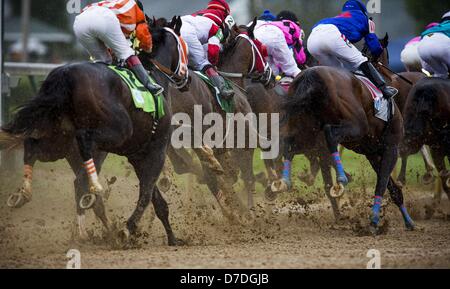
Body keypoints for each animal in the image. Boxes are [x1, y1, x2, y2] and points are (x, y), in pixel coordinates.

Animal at [0, 18, 186, 244]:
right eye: (182, 45)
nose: (185, 76)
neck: (155, 76)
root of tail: (65, 73)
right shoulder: (156, 149)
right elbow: (146, 191)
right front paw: (127, 229)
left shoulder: (137, 155)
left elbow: (155, 197)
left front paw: (172, 238)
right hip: (115, 132)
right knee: (83, 157)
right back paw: (92, 199)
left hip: (57, 141)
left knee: (32, 146)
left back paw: (24, 193)